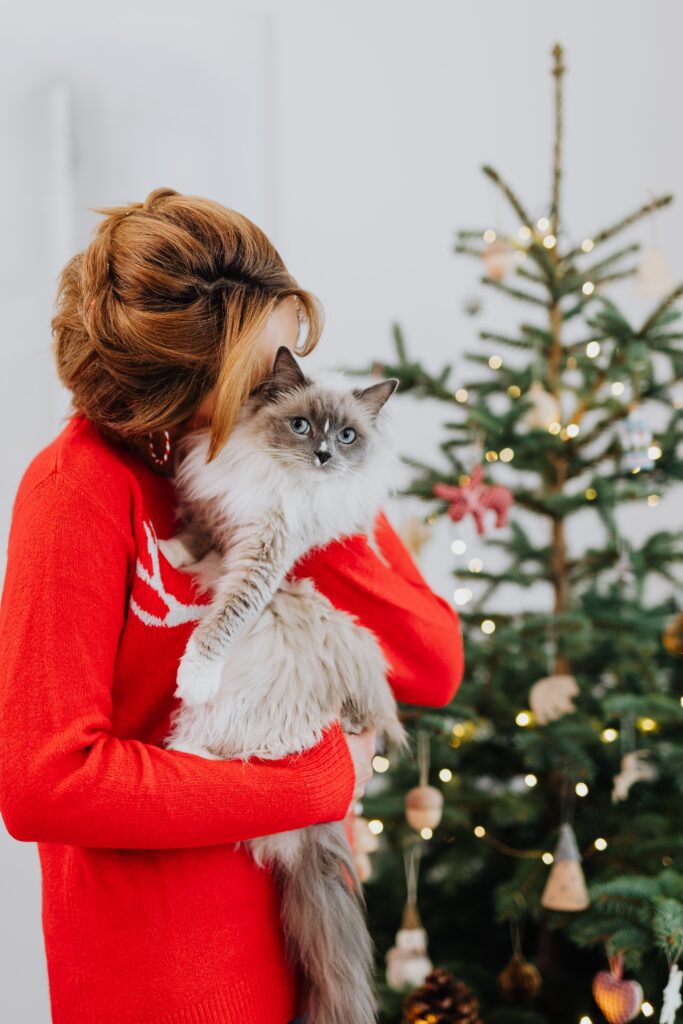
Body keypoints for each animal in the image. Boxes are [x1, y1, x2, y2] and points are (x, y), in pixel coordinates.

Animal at [157, 346, 409, 1024]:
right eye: (302, 427)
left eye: (346, 436)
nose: (322, 455)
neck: (272, 472)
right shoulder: (224, 508)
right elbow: (196, 534)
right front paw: (175, 549)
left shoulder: (267, 551)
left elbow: (225, 616)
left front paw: (194, 672)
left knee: (233, 753)